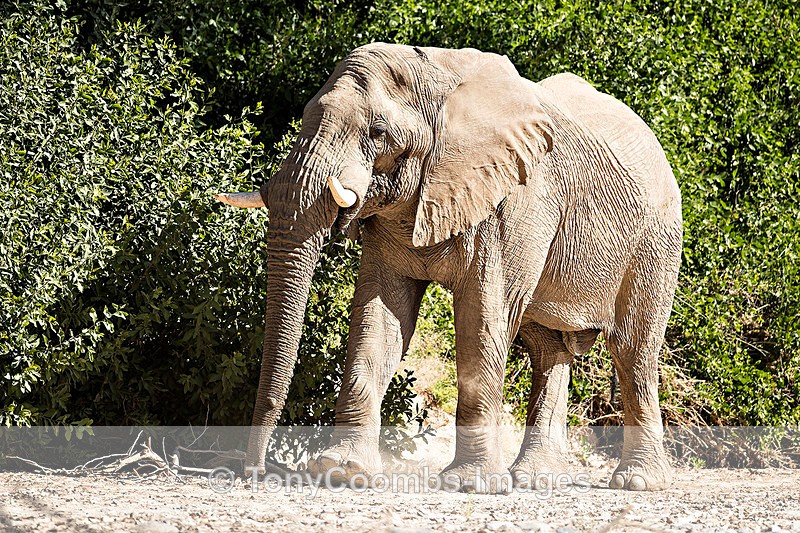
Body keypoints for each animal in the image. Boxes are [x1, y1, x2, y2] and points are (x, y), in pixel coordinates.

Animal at [215, 43, 682, 492]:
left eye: (378, 133)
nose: (254, 472)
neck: (437, 73)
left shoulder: (514, 199)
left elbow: (482, 316)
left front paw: (471, 485)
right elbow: (380, 319)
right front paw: (343, 472)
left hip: (657, 242)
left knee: (633, 350)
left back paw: (638, 482)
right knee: (549, 350)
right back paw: (536, 480)